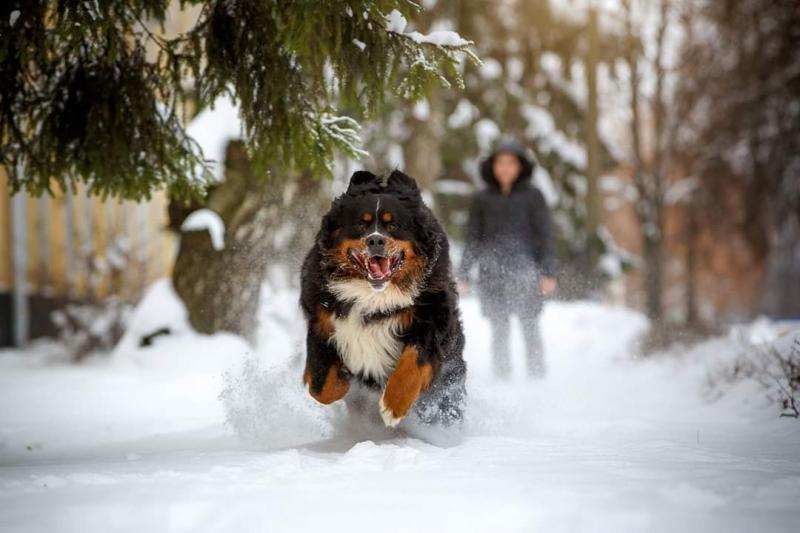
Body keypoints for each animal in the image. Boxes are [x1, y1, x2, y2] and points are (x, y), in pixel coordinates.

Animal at [300, 168, 466, 426]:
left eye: (393, 225)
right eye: (361, 224)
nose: (375, 240)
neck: (373, 295)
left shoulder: (432, 318)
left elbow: (413, 362)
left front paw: (393, 406)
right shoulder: (321, 319)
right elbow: (321, 386)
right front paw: (341, 382)